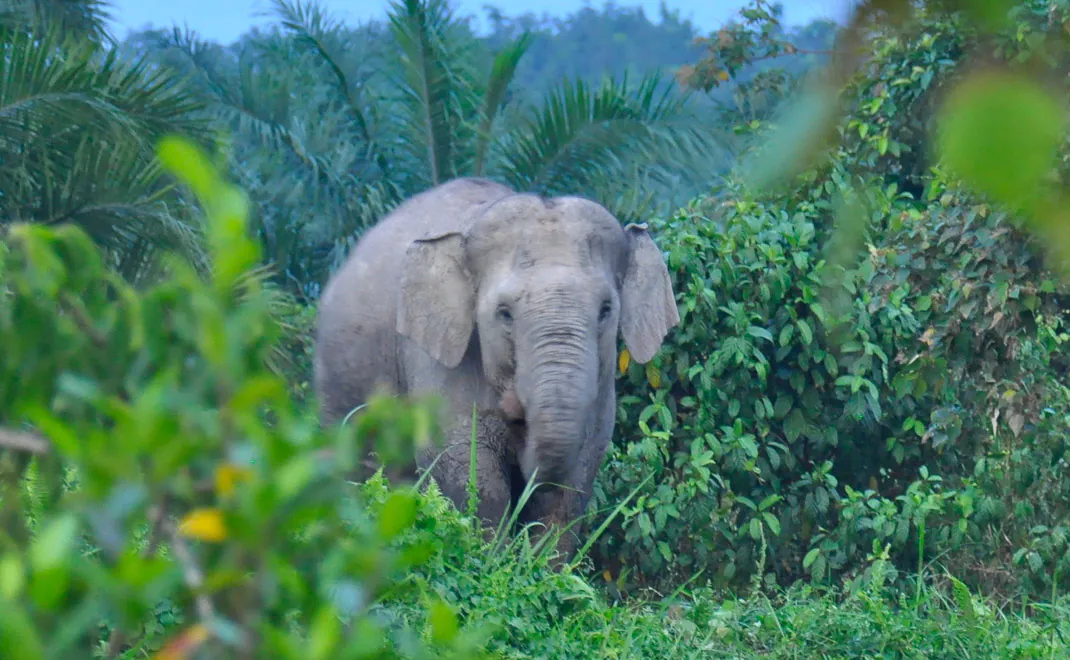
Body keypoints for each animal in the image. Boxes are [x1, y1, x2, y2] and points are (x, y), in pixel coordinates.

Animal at [312, 177, 676, 564]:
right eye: (504, 313)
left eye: (606, 309)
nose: (520, 421)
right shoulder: (437, 359)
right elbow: (466, 470)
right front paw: (489, 559)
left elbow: (573, 479)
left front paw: (539, 567)